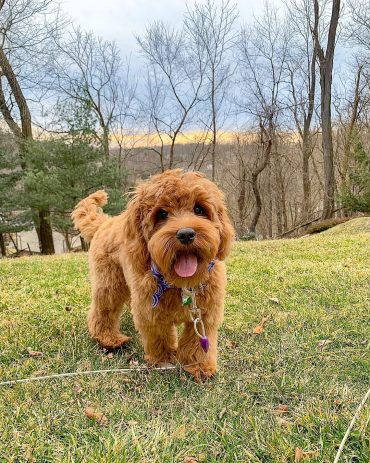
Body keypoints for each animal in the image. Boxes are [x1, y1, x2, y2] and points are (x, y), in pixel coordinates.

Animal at [71, 170, 234, 380]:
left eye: (199, 209)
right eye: (162, 213)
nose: (186, 234)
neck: (179, 284)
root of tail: (106, 222)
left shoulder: (205, 312)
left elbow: (197, 340)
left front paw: (199, 366)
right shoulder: (150, 311)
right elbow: (159, 335)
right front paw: (164, 359)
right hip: (109, 283)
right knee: (103, 310)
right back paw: (109, 339)